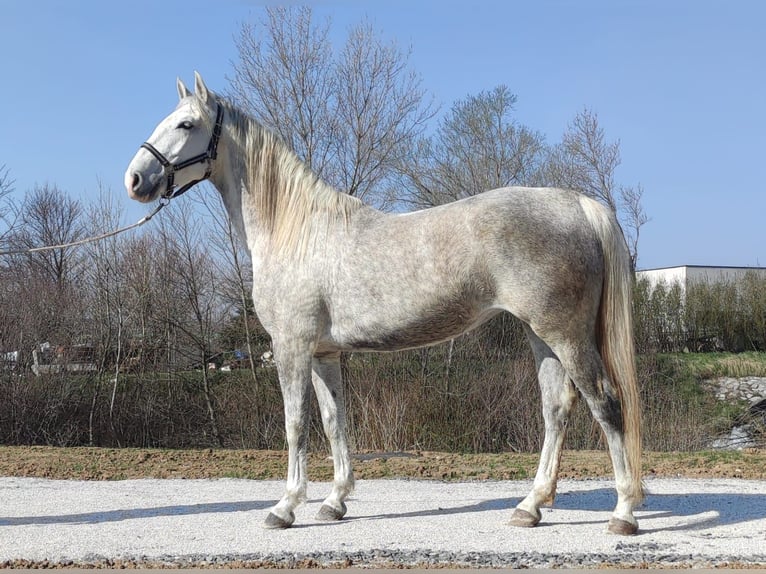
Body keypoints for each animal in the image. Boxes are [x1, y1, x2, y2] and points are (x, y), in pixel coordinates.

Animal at [124, 74, 640, 536]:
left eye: (187, 124)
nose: (135, 179)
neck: (294, 230)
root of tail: (579, 204)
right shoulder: (323, 353)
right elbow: (334, 422)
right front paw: (334, 502)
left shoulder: (291, 347)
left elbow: (296, 425)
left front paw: (285, 507)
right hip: (541, 335)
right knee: (556, 409)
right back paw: (530, 506)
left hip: (565, 334)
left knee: (606, 403)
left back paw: (623, 513)